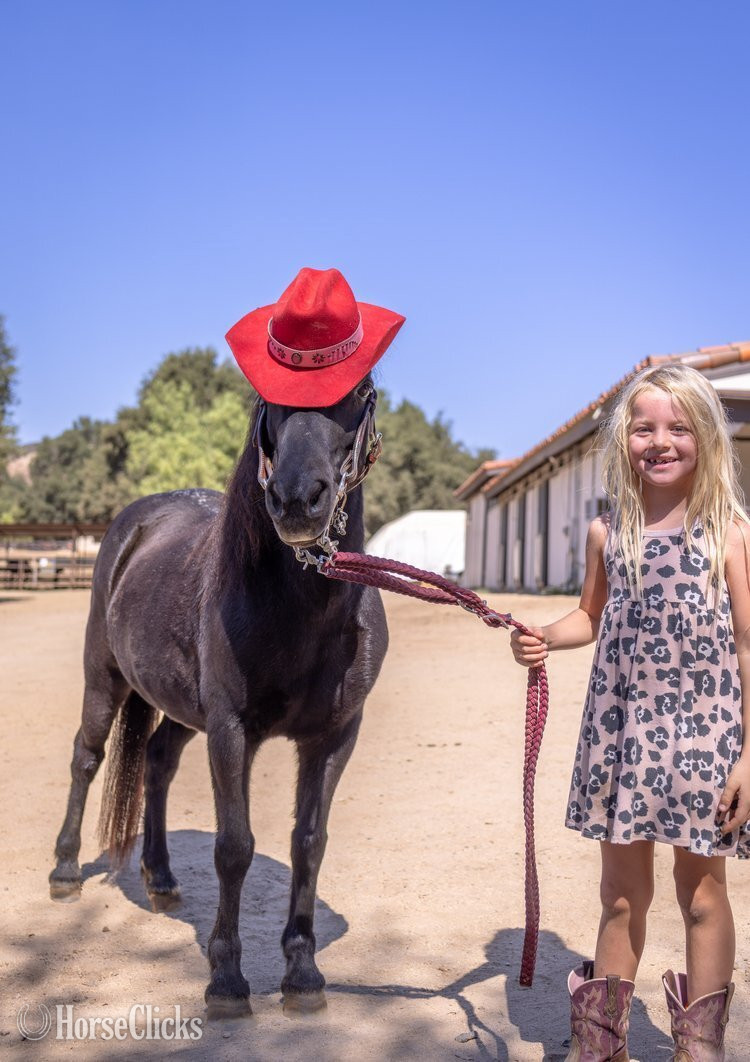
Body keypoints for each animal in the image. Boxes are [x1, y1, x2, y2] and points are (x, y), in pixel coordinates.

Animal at [49, 375, 388, 1018]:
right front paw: (226, 978)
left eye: (360, 391)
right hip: (103, 677)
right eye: (269, 397)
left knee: (156, 761)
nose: (297, 499)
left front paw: (302, 972)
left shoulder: (337, 736)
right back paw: (63, 871)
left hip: (183, 709)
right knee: (86, 757)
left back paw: (160, 879)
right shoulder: (231, 730)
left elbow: (309, 843)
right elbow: (235, 847)